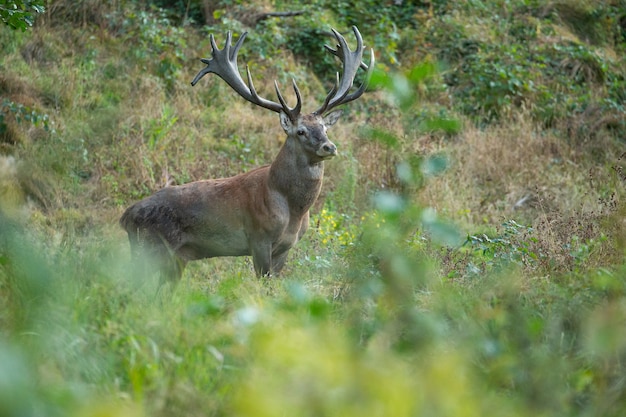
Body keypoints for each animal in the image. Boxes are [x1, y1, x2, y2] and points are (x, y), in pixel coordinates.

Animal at [119, 25, 372, 280]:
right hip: (150, 249)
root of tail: (126, 217)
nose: (329, 146)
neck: (293, 211)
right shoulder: (258, 238)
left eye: (324, 128)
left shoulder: (286, 247)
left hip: (173, 258)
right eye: (301, 131)